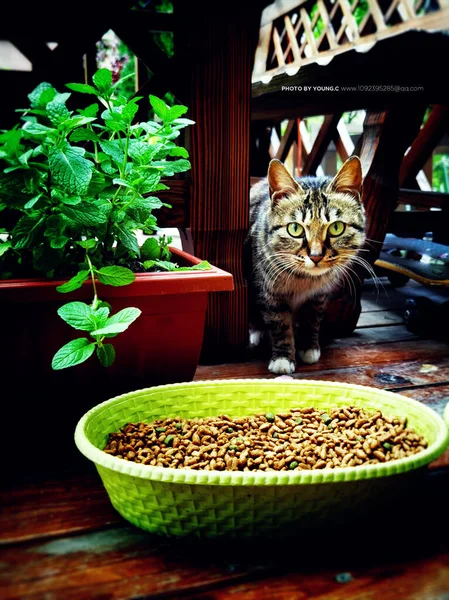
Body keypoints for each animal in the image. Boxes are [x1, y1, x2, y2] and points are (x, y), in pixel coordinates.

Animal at [245, 155, 364, 372]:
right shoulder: (269, 293)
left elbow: (312, 319)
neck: (304, 280)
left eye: (336, 227)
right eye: (295, 229)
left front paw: (309, 347)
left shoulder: (318, 295)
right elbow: (279, 324)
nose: (316, 256)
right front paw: (283, 358)